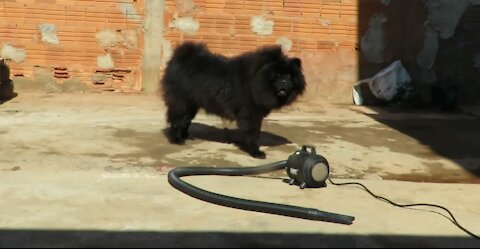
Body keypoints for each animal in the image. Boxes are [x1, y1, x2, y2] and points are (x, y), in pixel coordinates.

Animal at [159, 41, 306, 159]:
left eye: (289, 76)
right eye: (277, 74)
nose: (284, 82)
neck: (256, 81)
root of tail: (180, 57)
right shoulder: (250, 113)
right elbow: (253, 133)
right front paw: (256, 152)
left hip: (192, 103)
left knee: (186, 120)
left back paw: (186, 136)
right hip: (182, 101)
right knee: (177, 119)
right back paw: (177, 140)